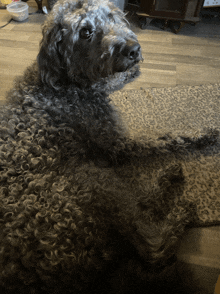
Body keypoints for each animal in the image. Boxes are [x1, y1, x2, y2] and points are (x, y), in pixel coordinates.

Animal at [0, 0, 218, 294]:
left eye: (112, 16)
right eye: (85, 32)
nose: (133, 49)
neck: (64, 85)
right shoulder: (117, 144)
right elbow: (165, 138)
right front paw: (206, 134)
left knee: (142, 210)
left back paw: (167, 178)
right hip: (91, 182)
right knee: (152, 248)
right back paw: (180, 211)